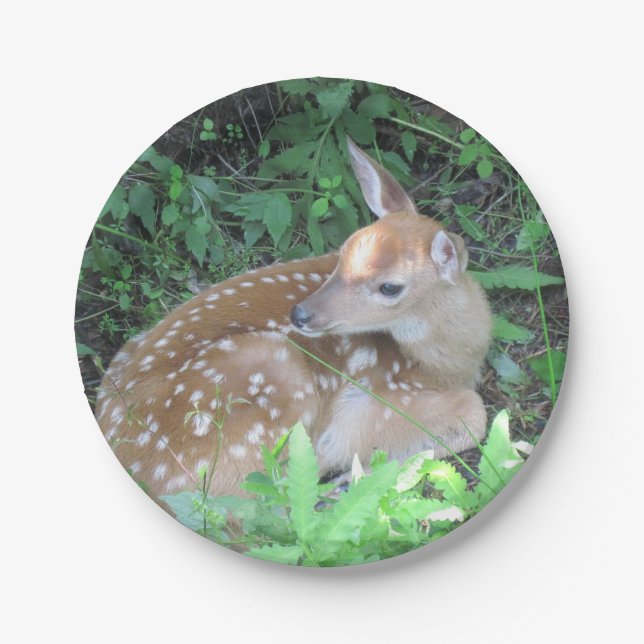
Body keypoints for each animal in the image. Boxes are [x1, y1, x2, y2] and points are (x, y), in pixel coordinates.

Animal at [95, 138, 492, 509]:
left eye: (389, 287)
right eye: (343, 252)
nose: (301, 314)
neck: (445, 365)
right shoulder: (370, 401)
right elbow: (475, 415)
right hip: (271, 379)